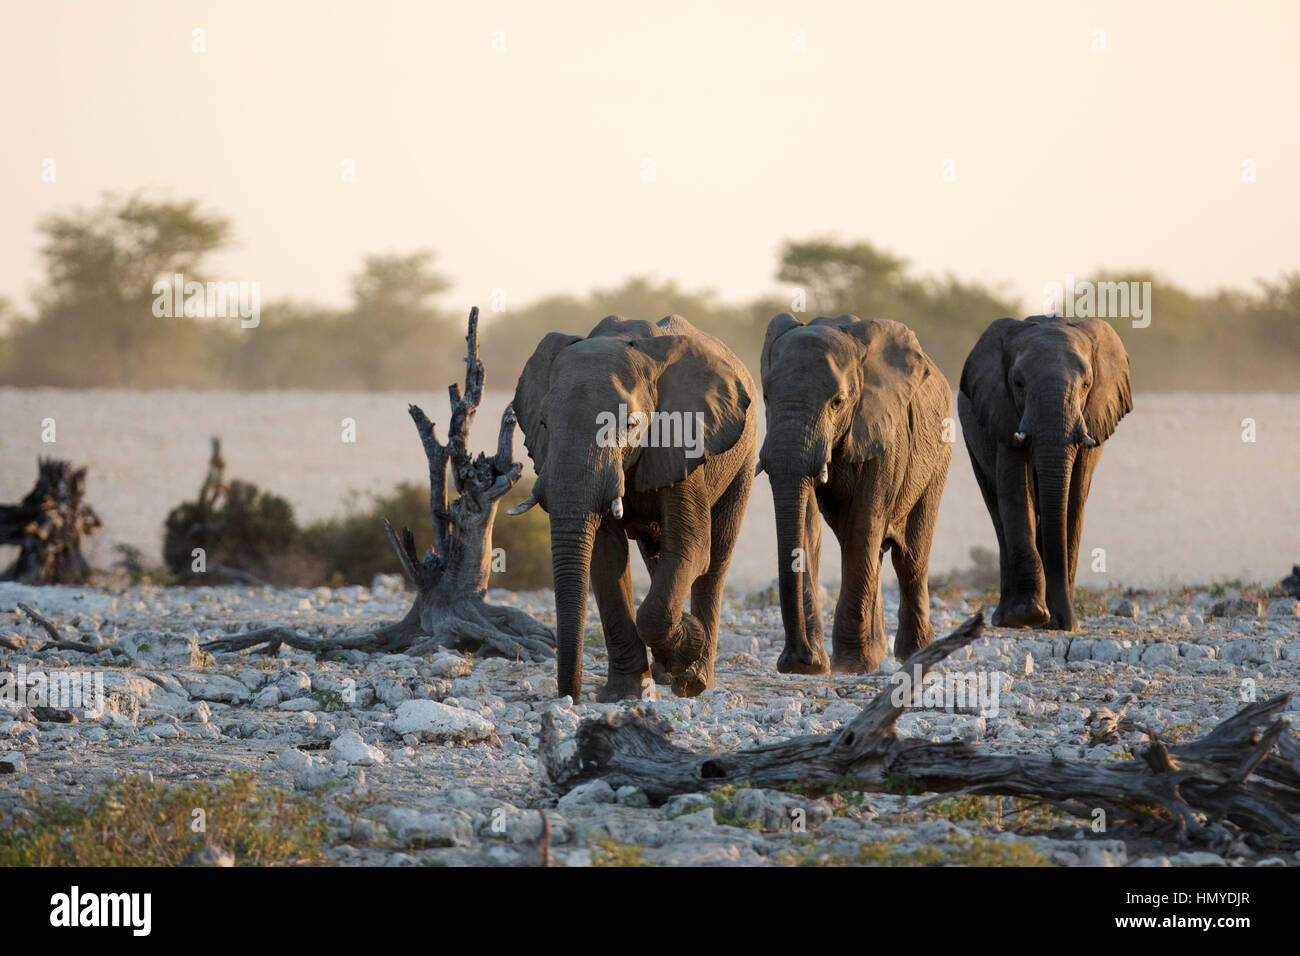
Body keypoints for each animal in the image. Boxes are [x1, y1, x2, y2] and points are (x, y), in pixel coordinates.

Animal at [504, 314, 754, 702]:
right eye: (544, 424)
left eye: (629, 424)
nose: (570, 696)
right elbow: (607, 557)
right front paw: (626, 694)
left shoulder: (684, 438)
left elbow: (693, 546)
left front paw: (687, 649)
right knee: (658, 555)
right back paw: (669, 673)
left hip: (743, 456)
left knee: (715, 558)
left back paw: (695, 679)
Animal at [759, 314, 951, 671]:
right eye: (765, 397)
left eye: (837, 402)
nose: (796, 659)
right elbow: (808, 526)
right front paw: (818, 666)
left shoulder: (885, 431)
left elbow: (865, 523)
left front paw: (849, 666)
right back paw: (879, 654)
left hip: (939, 456)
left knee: (909, 557)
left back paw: (913, 654)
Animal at [961, 314, 1133, 632]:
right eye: (1018, 384)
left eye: (1086, 384)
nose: (1065, 623)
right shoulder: (1003, 413)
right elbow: (1016, 493)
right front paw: (1027, 616)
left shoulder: (1092, 419)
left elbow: (1074, 498)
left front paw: (1059, 621)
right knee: (997, 512)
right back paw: (1006, 618)